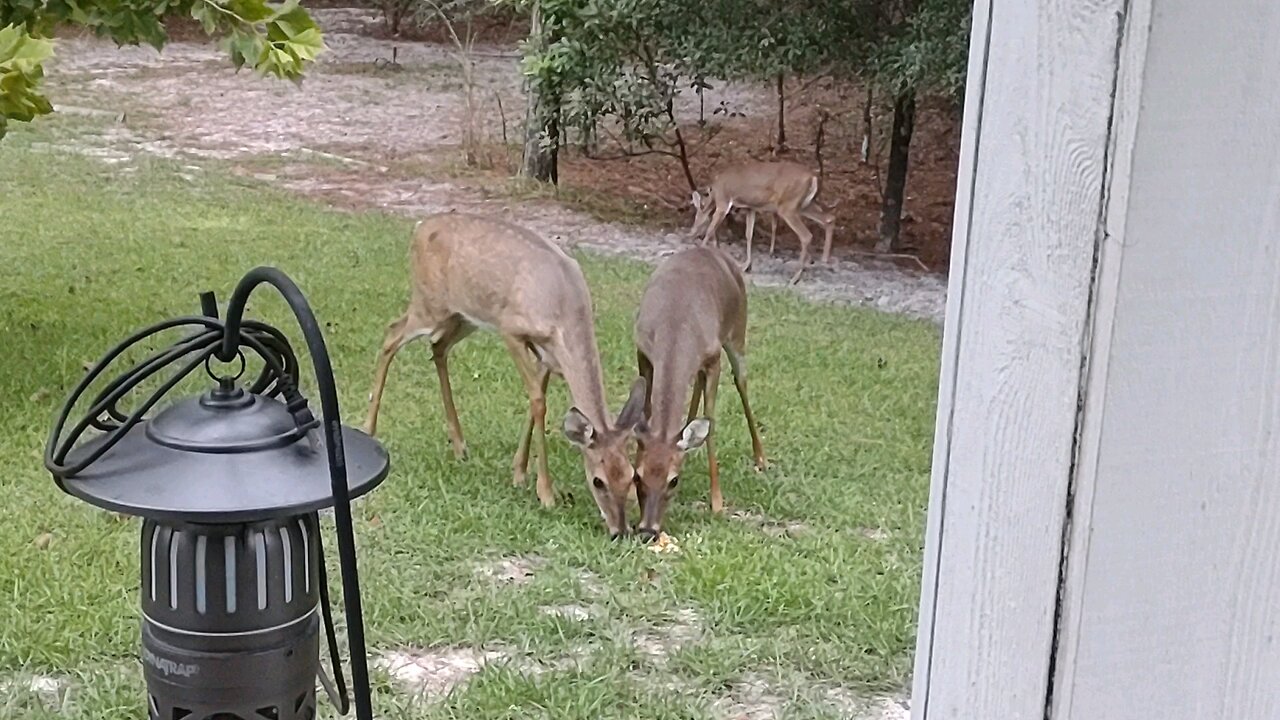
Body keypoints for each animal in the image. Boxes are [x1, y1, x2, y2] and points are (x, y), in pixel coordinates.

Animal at [366, 210, 650, 535]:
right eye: (598, 481)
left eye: (631, 475)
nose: (620, 530)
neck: (564, 310)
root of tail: (420, 228)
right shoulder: (511, 329)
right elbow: (538, 400)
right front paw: (545, 492)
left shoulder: (548, 355)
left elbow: (536, 398)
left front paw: (519, 472)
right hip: (429, 304)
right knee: (391, 334)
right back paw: (369, 428)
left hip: (462, 316)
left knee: (437, 346)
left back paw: (460, 445)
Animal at [632, 245, 762, 538]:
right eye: (637, 475)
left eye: (673, 481)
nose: (648, 530)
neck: (675, 327)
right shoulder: (643, 350)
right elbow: (646, 411)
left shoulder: (714, 359)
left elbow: (711, 422)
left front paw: (717, 502)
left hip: (737, 332)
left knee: (742, 382)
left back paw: (761, 457)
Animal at [691, 159, 839, 283]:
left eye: (696, 217)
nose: (691, 232)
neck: (714, 193)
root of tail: (813, 177)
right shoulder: (750, 207)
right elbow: (749, 234)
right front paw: (746, 265)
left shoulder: (723, 201)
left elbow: (710, 229)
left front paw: (701, 251)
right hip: (805, 205)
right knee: (829, 218)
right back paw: (824, 259)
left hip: (788, 206)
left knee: (806, 235)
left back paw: (795, 277)